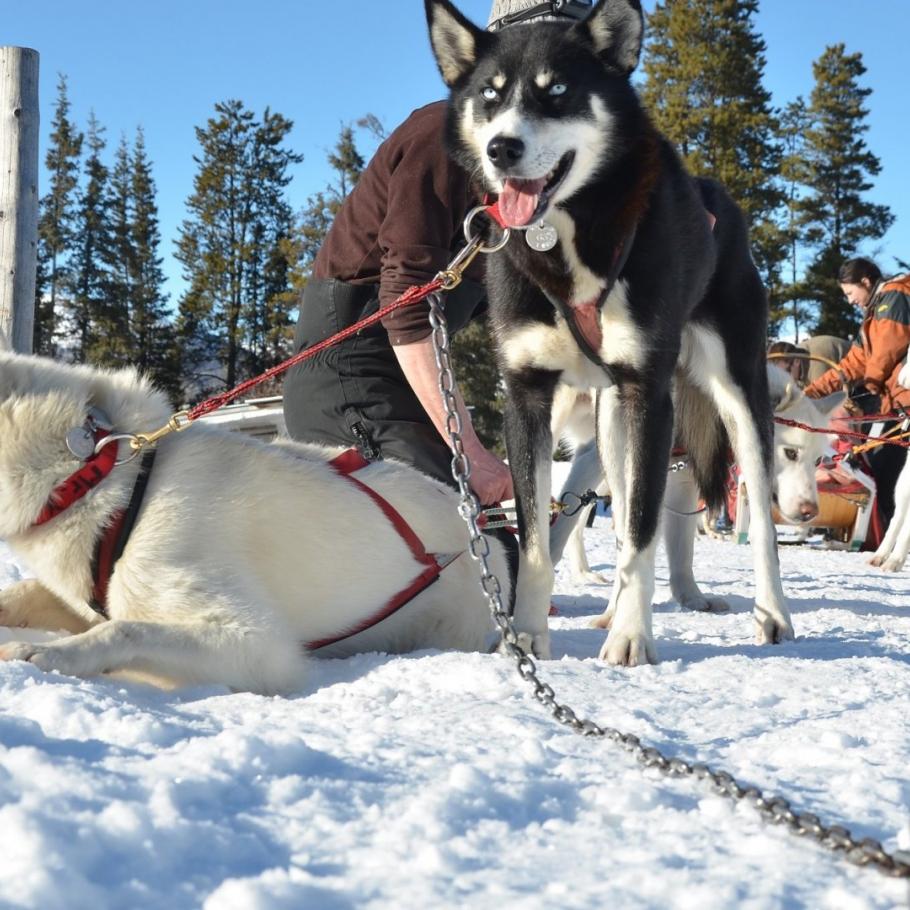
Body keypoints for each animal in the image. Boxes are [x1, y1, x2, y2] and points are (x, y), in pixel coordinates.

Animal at [0, 352, 510, 696]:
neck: (96, 473)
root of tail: (482, 531)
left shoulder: (259, 644)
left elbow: (125, 629)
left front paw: (49, 652)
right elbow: (28, 593)